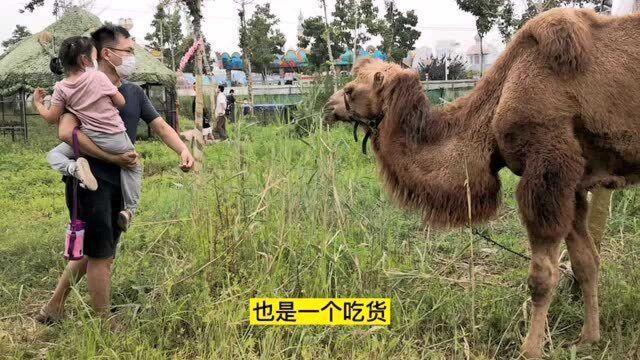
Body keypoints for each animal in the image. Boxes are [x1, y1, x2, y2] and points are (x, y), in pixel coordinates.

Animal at [324, 7, 640, 358]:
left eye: (351, 90)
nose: (328, 106)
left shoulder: (549, 168)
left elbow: (542, 276)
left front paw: (529, 349)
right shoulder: (572, 182)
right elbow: (586, 263)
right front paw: (589, 338)